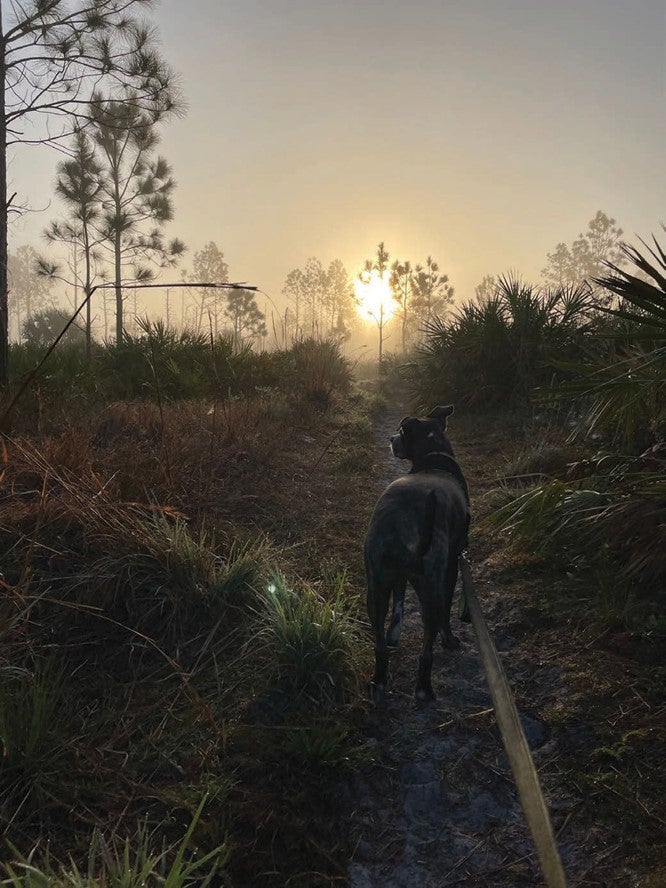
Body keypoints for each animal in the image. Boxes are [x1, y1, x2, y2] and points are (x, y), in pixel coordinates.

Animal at [364, 406, 466, 704]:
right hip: (431, 587)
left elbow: (398, 606)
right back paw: (424, 688)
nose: (391, 438)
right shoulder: (452, 565)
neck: (433, 460)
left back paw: (378, 680)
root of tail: (402, 520)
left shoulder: (397, 577)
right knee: (427, 645)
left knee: (379, 644)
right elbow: (447, 613)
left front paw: (394, 634)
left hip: (375, 588)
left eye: (401, 432)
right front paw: (450, 640)